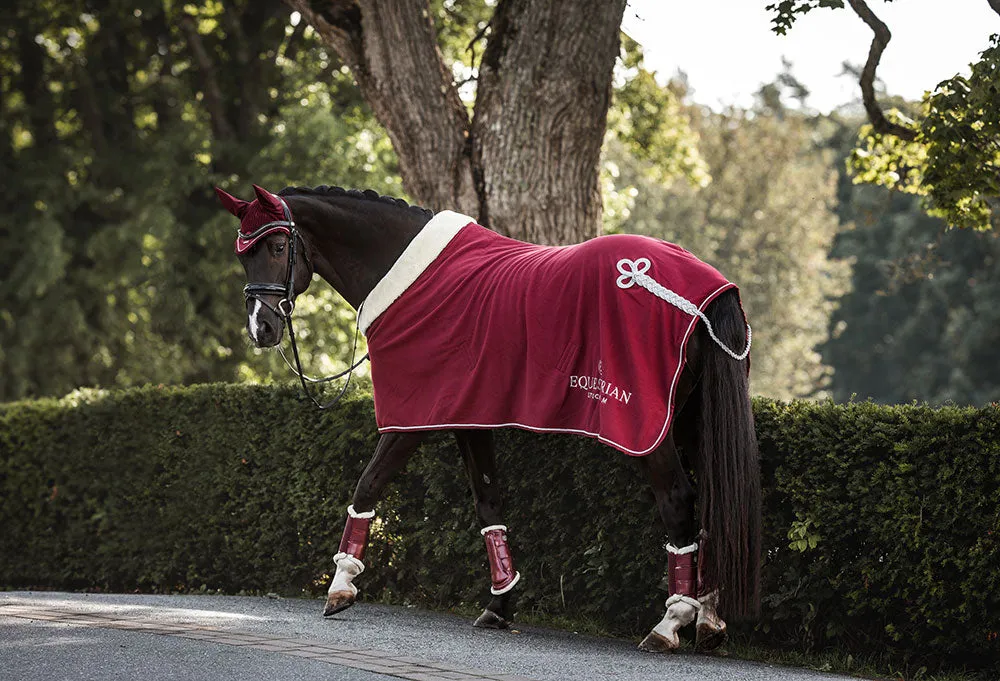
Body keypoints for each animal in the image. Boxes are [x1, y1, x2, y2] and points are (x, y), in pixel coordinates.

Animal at [217, 183, 756, 652]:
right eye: (243, 253)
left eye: (279, 245)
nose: (261, 328)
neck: (412, 277)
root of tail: (708, 290)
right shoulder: (470, 418)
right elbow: (488, 503)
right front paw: (500, 603)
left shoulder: (413, 418)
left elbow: (367, 485)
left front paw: (340, 586)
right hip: (694, 422)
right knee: (712, 500)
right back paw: (708, 618)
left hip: (650, 430)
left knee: (679, 500)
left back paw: (670, 623)